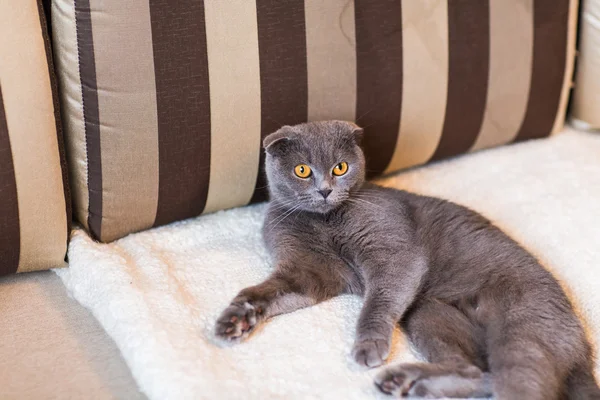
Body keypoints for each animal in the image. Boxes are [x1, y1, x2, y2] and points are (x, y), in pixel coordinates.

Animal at [213, 120, 596, 398]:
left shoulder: (394, 251)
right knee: (476, 371)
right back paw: (408, 382)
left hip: (521, 332)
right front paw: (235, 319)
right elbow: (266, 291)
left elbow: (377, 302)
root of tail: (583, 349)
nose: (325, 190)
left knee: (516, 381)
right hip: (430, 314)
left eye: (341, 167)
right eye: (303, 170)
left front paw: (368, 345)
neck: (324, 222)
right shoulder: (308, 270)